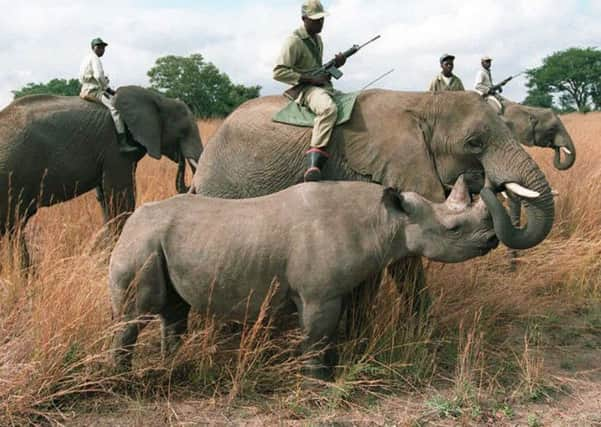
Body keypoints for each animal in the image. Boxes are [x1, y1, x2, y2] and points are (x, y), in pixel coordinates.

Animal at [0, 85, 202, 266]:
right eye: (183, 131)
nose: (182, 159)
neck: (157, 97)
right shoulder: (115, 149)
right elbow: (120, 197)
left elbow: (105, 198)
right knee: (14, 225)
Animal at [110, 177, 500, 378]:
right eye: (453, 229)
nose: (493, 240)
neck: (388, 220)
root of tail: (130, 222)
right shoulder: (318, 294)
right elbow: (317, 334)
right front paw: (318, 379)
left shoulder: (329, 291)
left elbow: (327, 333)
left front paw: (329, 368)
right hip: (141, 241)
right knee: (135, 316)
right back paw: (123, 376)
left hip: (160, 241)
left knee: (174, 310)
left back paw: (174, 366)